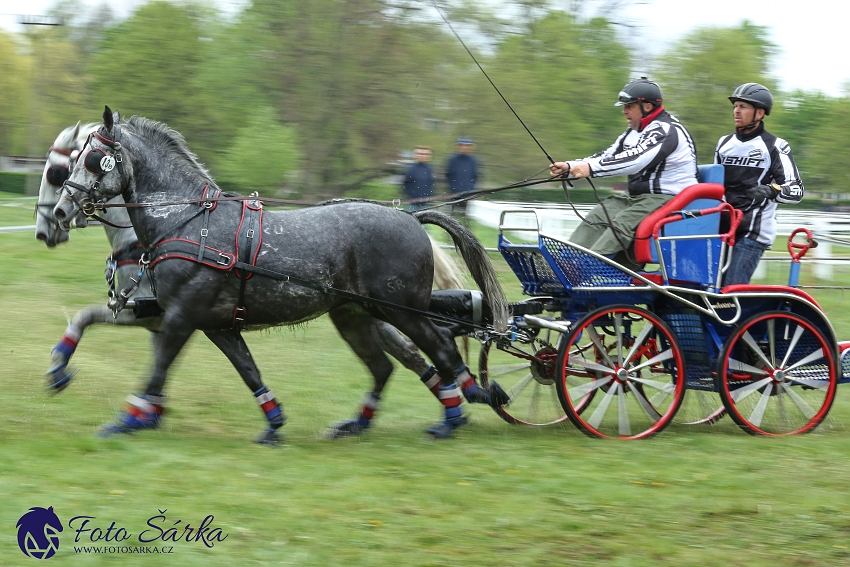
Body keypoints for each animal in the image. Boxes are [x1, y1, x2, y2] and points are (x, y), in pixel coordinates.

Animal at [53, 107, 504, 444]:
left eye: (90, 159)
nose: (59, 211)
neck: (186, 220)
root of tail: (410, 217)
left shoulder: (181, 315)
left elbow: (159, 366)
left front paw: (127, 420)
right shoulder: (214, 324)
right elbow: (248, 370)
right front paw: (273, 422)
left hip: (401, 310)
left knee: (440, 348)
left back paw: (462, 407)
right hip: (354, 315)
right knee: (385, 366)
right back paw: (358, 423)